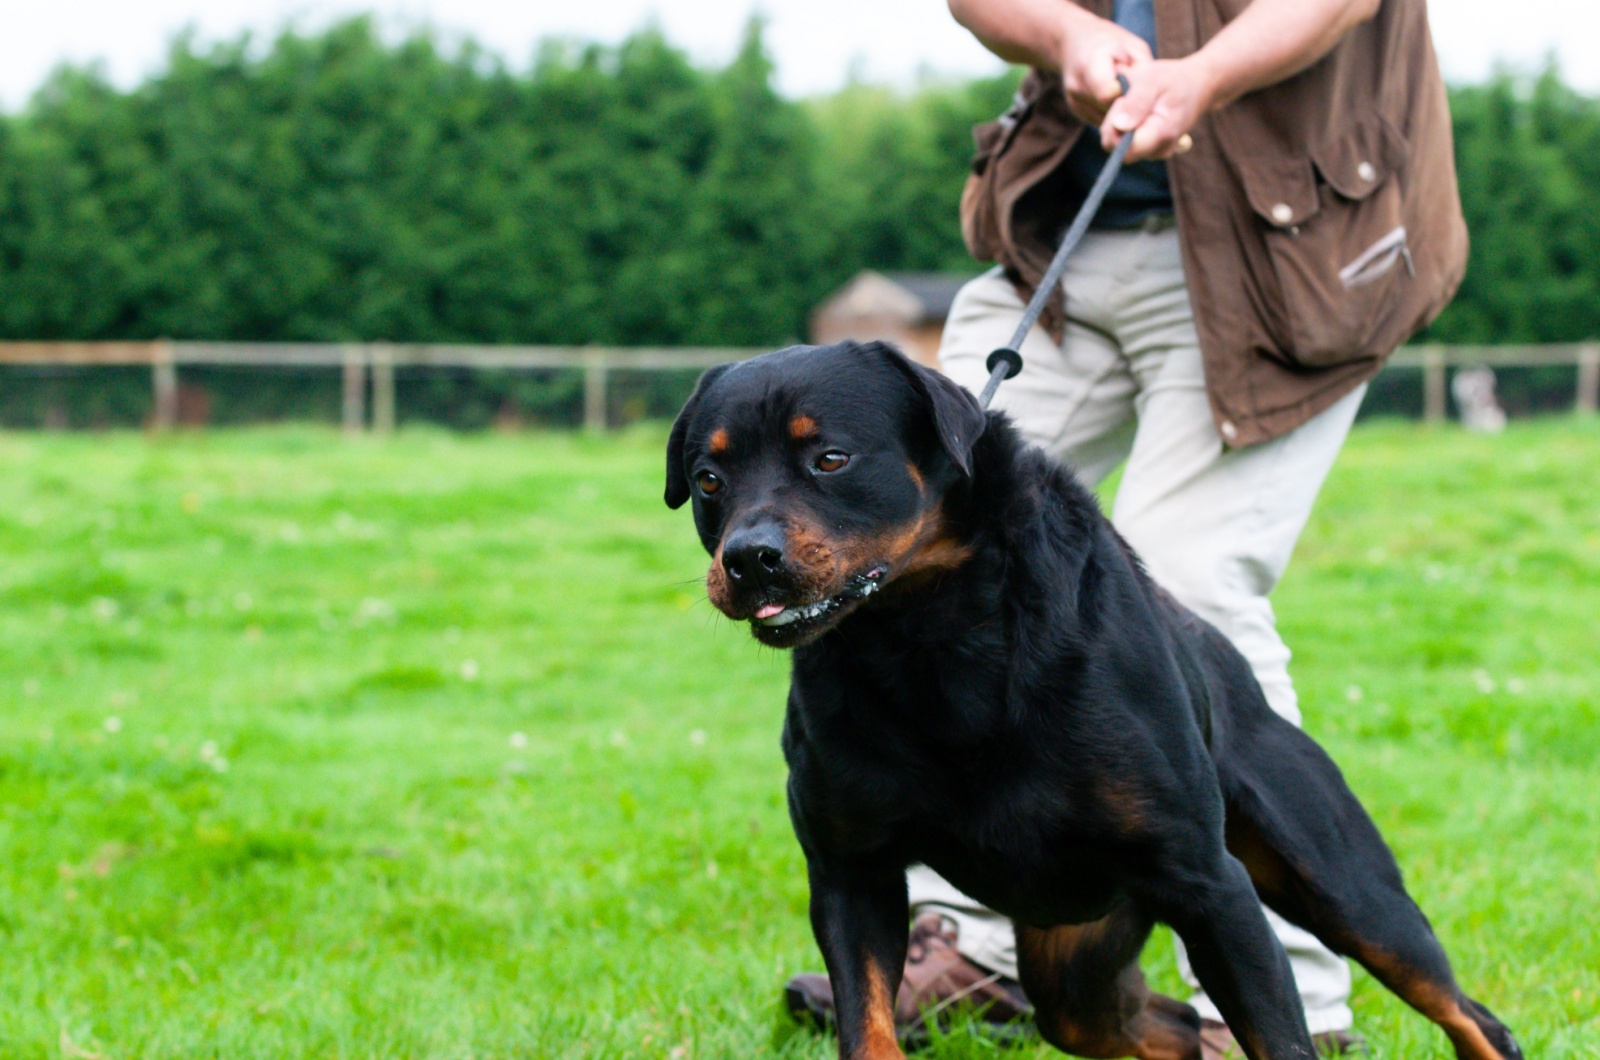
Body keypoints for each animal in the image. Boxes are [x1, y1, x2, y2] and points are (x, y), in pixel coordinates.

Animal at [665, 342, 1523, 1060]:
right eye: (709, 480)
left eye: (832, 458)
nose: (748, 558)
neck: (928, 641)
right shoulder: (852, 872)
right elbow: (867, 1029)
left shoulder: (1210, 886)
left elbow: (1282, 1041)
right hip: (1074, 963)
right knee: (1165, 1030)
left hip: (1340, 885)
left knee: (1468, 1013)